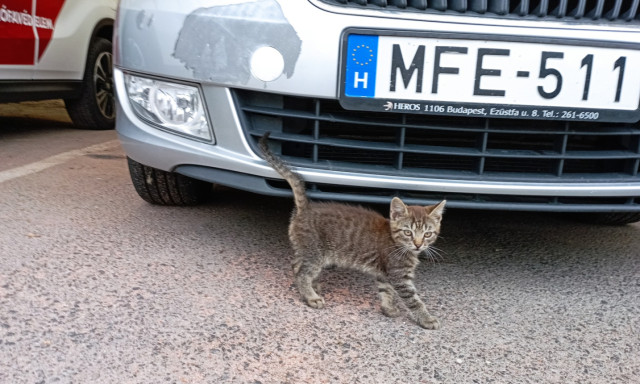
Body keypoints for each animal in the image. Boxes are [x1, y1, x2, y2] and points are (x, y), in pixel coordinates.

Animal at [258, 134, 442, 328]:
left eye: (427, 234)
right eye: (408, 233)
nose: (418, 245)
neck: (397, 242)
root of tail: (306, 208)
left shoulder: (385, 273)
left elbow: (386, 291)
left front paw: (388, 308)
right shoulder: (399, 275)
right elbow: (414, 300)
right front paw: (427, 318)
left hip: (308, 250)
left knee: (296, 264)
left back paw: (312, 285)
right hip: (315, 254)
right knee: (302, 273)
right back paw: (311, 296)